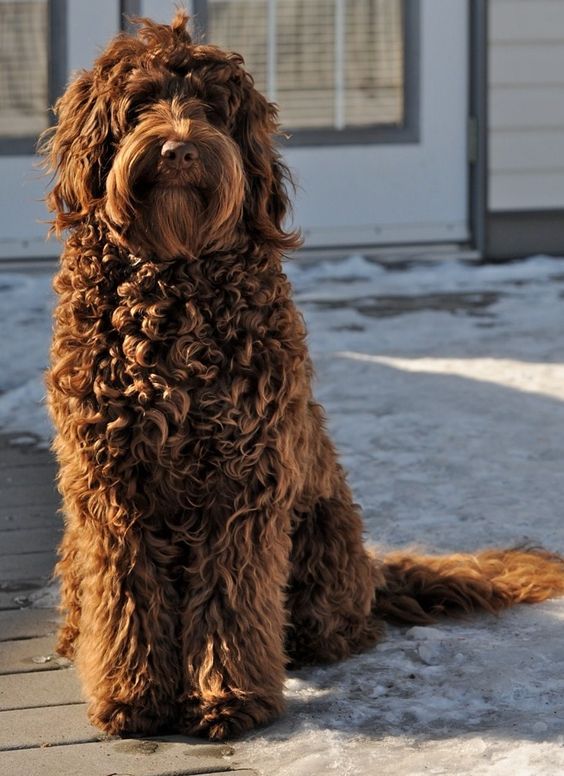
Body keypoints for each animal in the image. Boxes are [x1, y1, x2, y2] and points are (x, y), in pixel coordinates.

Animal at [41, 12, 564, 740]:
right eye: (140, 103)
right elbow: (127, 596)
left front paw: (229, 697)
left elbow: (231, 598)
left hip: (321, 532)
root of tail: (374, 571)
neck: (173, 282)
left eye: (212, 108)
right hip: (76, 539)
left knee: (338, 625)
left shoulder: (243, 477)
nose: (179, 151)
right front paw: (132, 696)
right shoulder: (112, 482)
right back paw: (78, 640)